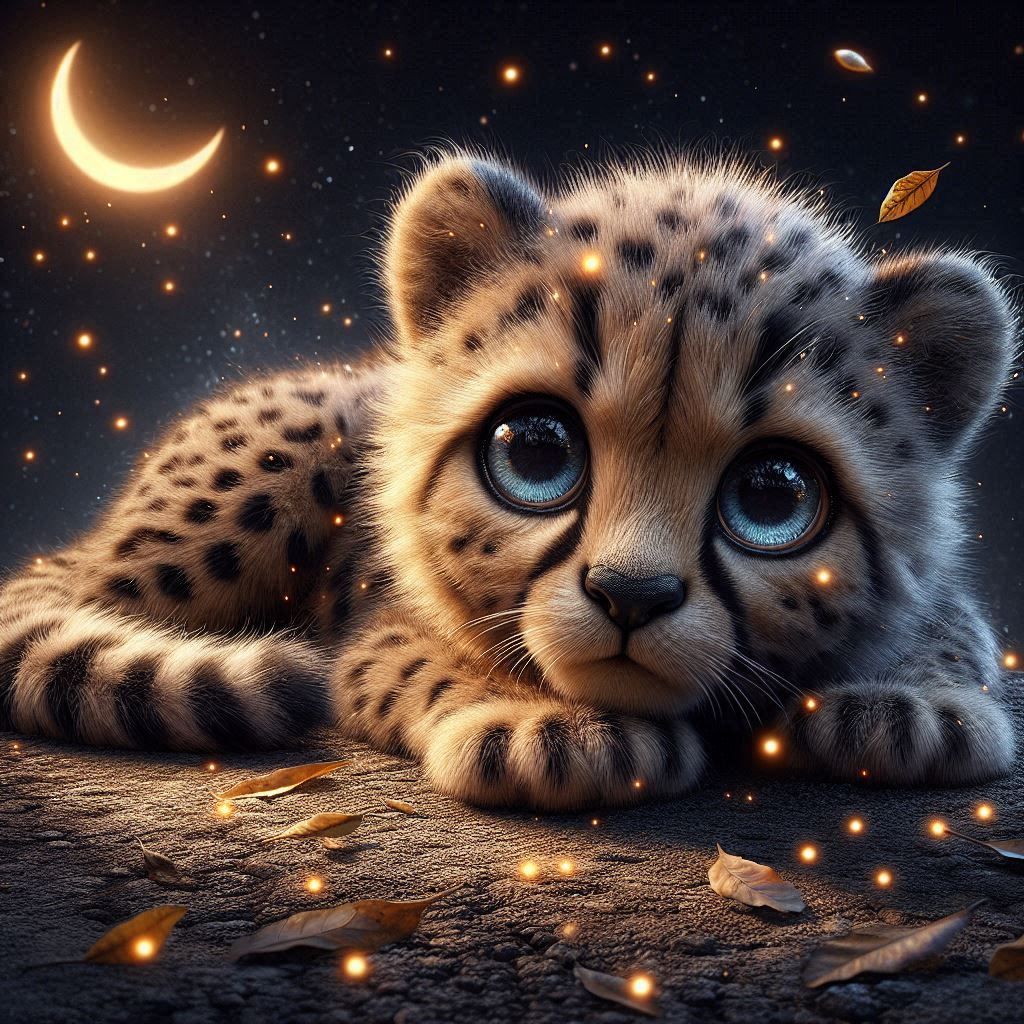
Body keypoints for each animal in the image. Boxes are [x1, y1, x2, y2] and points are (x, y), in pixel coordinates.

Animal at [0, 150, 1016, 810]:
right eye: (535, 453)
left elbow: (951, 632)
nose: (630, 596)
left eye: (773, 496)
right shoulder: (378, 622)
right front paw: (539, 725)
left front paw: (911, 704)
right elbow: (423, 654)